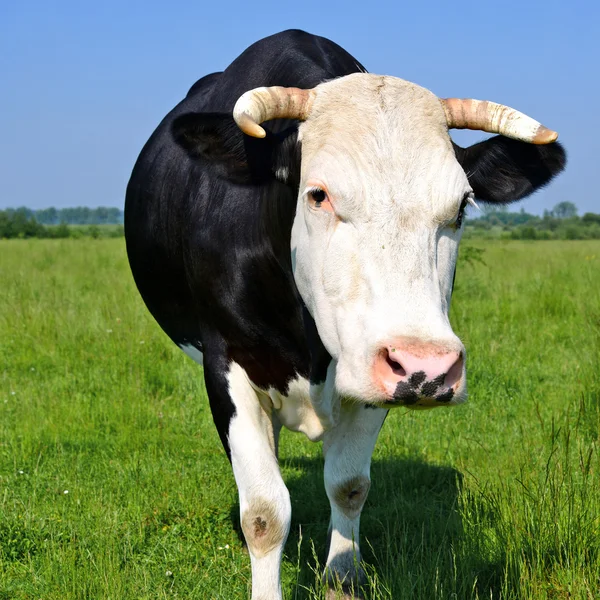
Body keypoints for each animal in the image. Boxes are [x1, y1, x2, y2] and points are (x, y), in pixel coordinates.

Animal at [123, 29, 568, 600]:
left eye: (462, 206)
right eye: (318, 194)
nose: (428, 367)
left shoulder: (370, 371)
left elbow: (349, 486)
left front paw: (342, 578)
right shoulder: (225, 363)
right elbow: (264, 511)